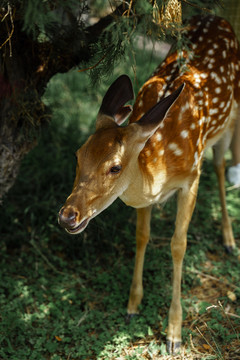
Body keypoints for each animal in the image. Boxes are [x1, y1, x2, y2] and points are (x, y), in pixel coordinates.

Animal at [58, 15, 240, 352]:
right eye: (78, 155)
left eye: (115, 167)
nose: (67, 215)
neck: (158, 167)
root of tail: (216, 16)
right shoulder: (146, 200)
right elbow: (142, 236)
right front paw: (132, 305)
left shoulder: (191, 176)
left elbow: (178, 245)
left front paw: (174, 333)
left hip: (229, 119)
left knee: (221, 166)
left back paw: (229, 240)